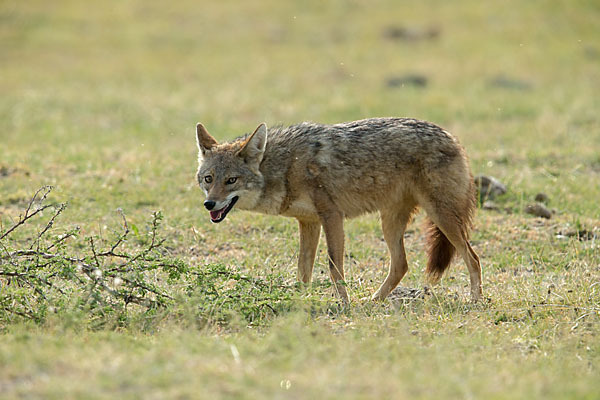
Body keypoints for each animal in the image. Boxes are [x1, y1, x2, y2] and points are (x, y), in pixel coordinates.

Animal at [196, 119, 482, 304]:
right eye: (209, 179)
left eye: (231, 180)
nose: (209, 204)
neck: (286, 167)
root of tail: (452, 137)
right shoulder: (308, 222)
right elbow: (303, 270)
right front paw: (300, 301)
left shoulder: (332, 216)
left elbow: (334, 266)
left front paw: (343, 304)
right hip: (390, 223)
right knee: (401, 264)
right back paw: (373, 301)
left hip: (441, 217)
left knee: (473, 258)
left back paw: (475, 302)